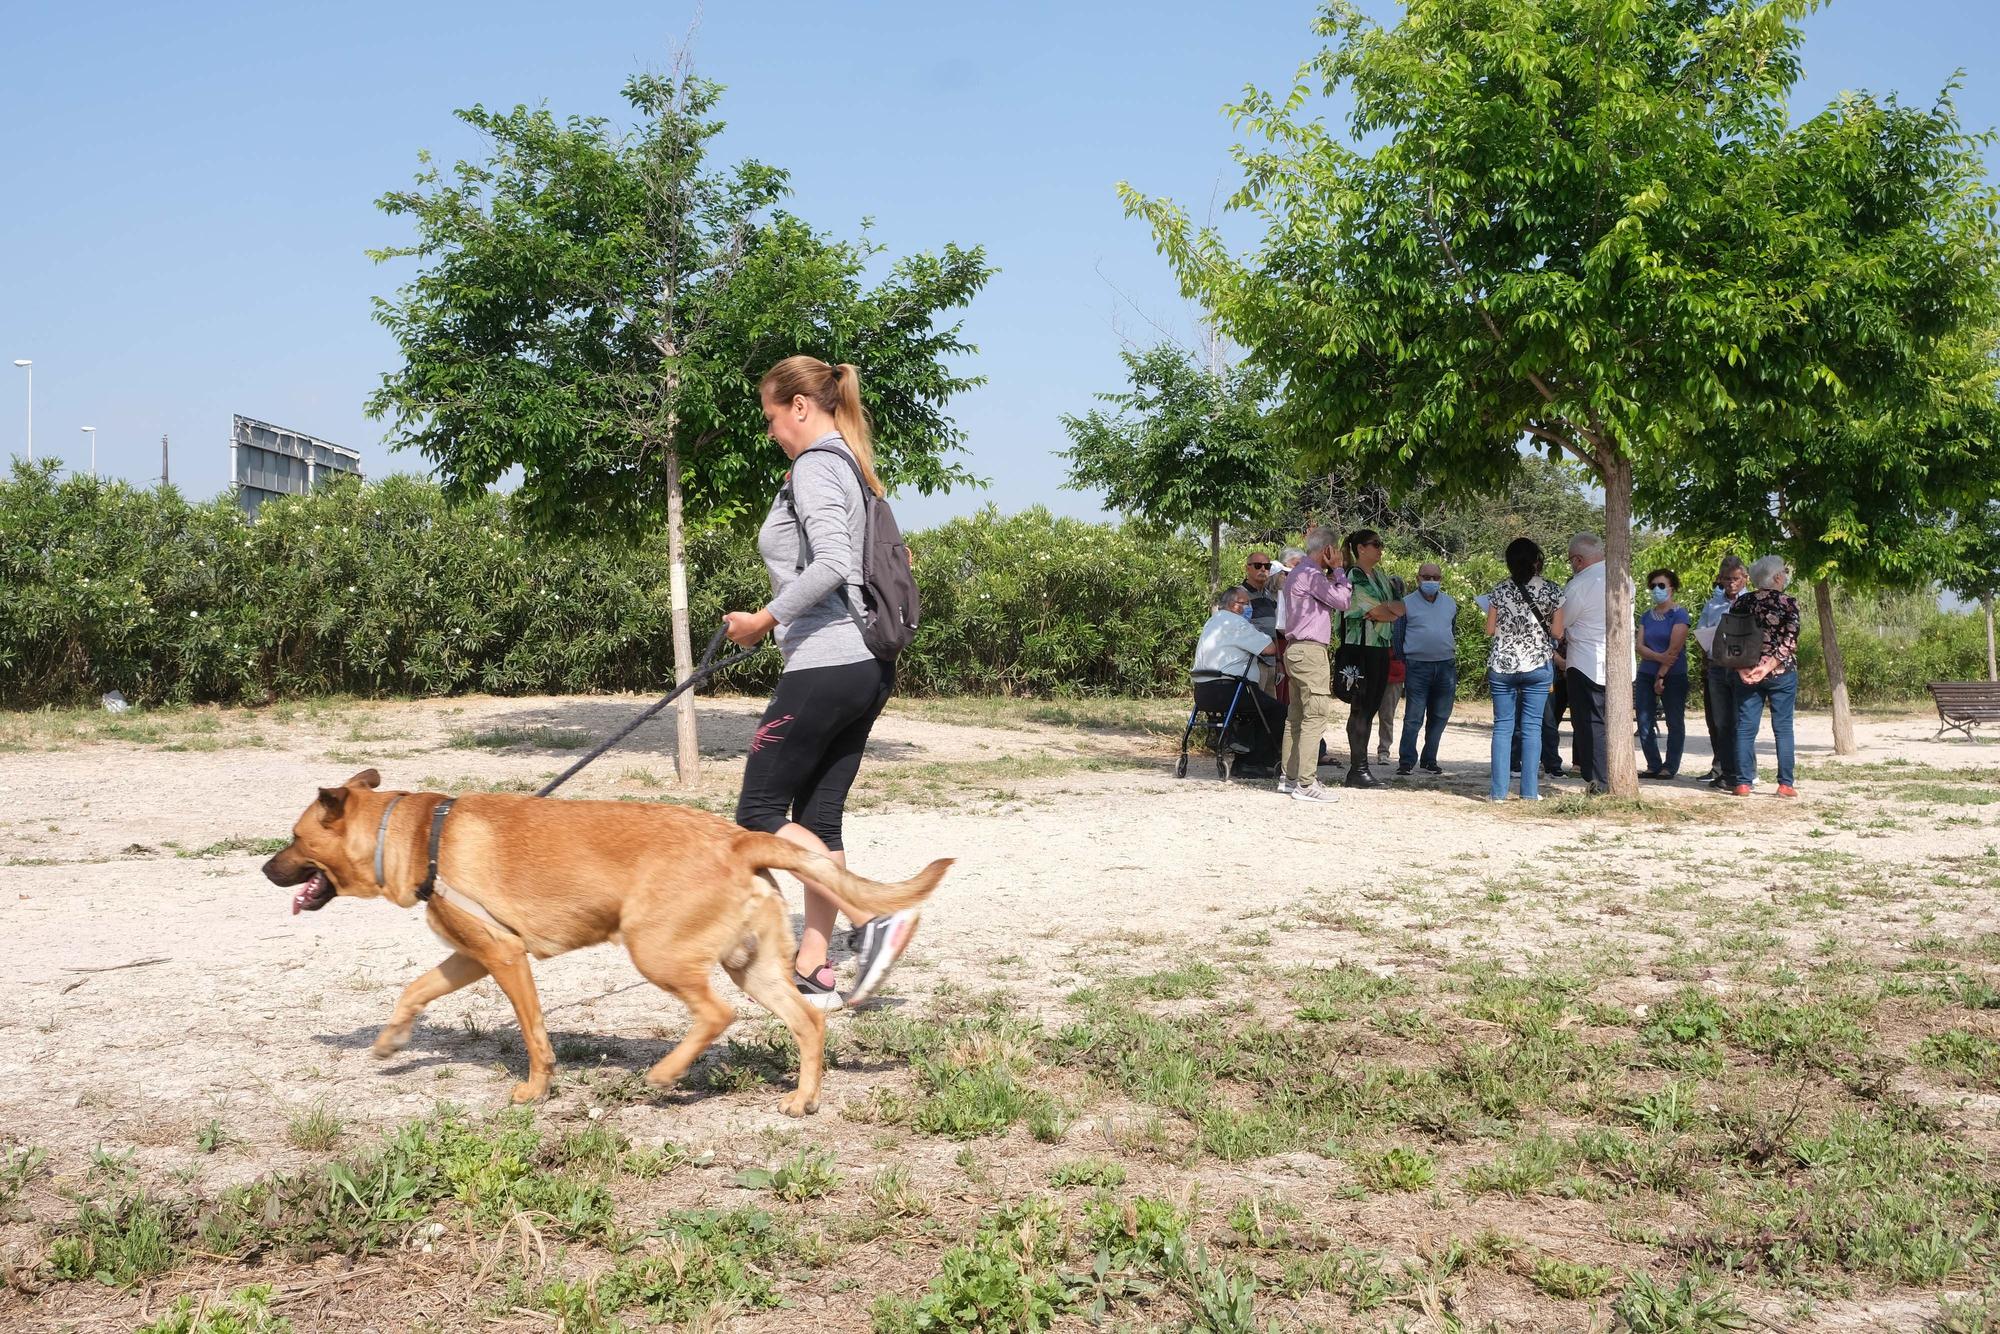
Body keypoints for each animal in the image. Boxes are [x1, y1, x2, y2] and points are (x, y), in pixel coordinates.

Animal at [262, 772, 948, 1120]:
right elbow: (415, 988)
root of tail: (738, 840)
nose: (266, 870)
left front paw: (535, 1090)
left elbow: (535, 1036)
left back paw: (667, 1073)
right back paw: (803, 1098)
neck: (411, 834)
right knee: (807, 1021)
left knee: (715, 1014)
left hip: (657, 952)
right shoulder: (470, 955)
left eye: (293, 837)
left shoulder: (505, 958)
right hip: (750, 965)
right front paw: (390, 1040)